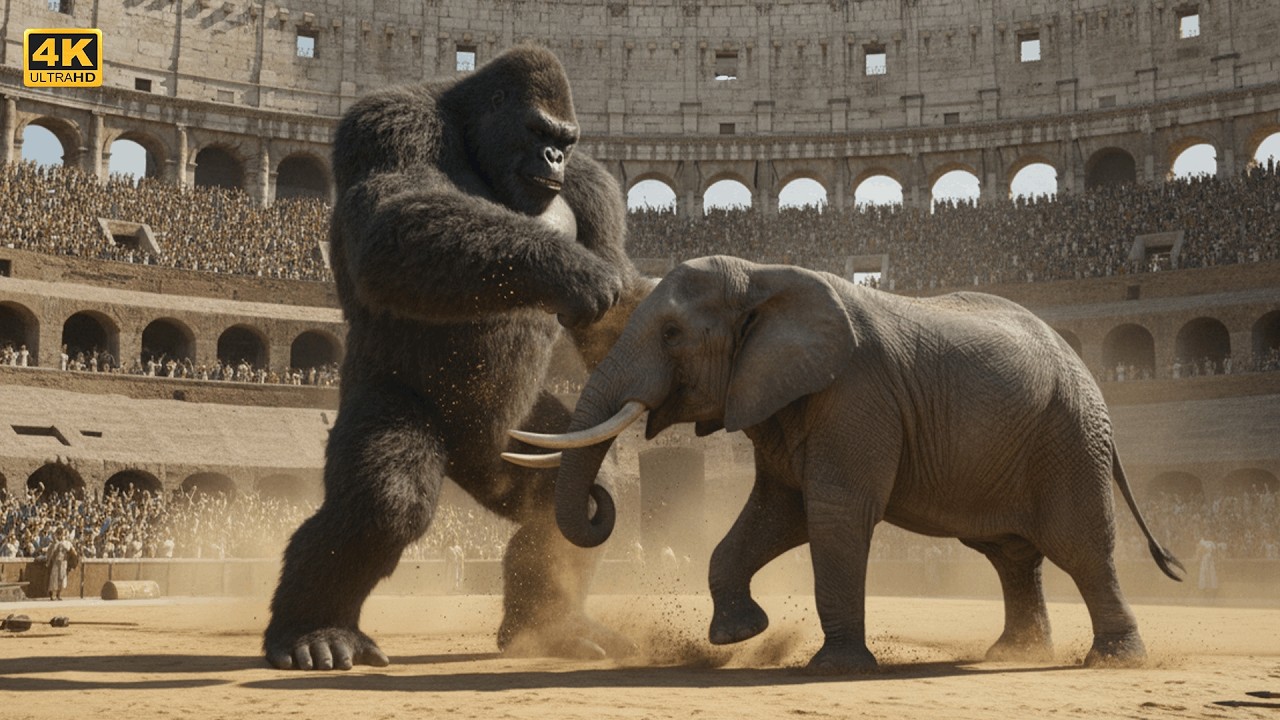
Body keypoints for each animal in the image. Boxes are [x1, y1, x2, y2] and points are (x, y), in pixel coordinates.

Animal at [505, 255, 1185, 674]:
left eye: (672, 334)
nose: (602, 501)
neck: (762, 277)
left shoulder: (855, 395)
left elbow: (833, 512)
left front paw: (832, 667)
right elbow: (777, 514)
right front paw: (738, 636)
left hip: (1069, 437)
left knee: (1080, 545)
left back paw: (1115, 660)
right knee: (1011, 554)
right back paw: (1011, 656)